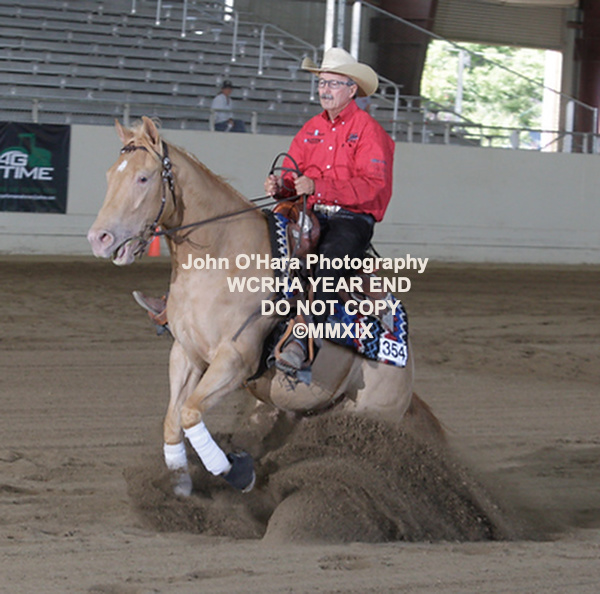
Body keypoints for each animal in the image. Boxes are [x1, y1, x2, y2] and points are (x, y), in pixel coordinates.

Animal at [87, 117, 441, 496]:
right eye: (109, 175)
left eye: (143, 177)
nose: (99, 238)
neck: (221, 259)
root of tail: (407, 367)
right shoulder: (185, 353)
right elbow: (172, 419)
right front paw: (180, 484)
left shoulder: (234, 361)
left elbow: (191, 413)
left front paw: (239, 473)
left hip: (371, 417)